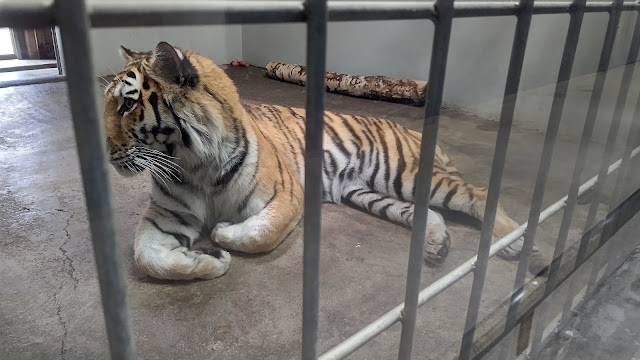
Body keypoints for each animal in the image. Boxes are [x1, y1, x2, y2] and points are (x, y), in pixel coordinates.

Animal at [104, 40, 544, 280]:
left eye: (127, 104)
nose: (105, 155)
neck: (193, 165)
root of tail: (414, 131)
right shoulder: (165, 215)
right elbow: (147, 257)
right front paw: (207, 262)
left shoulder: (285, 196)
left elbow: (258, 234)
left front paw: (222, 237)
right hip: (367, 192)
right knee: (429, 213)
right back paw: (437, 245)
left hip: (406, 174)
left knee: (479, 192)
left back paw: (518, 247)